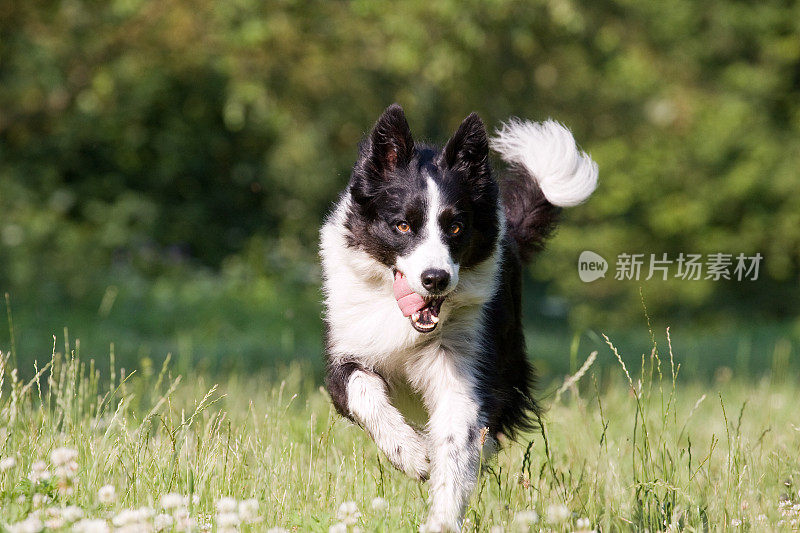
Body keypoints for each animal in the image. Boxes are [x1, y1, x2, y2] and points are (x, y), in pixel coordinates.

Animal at [318, 103, 592, 528]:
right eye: (402, 225)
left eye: (457, 227)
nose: (436, 279)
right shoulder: (346, 352)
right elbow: (363, 390)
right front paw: (412, 454)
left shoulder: (463, 364)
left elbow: (456, 439)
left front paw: (442, 519)